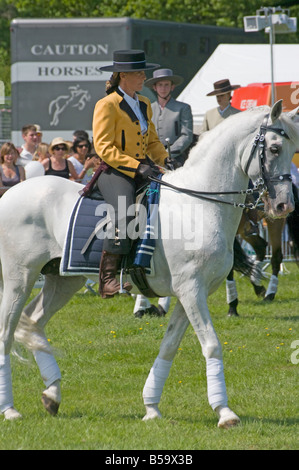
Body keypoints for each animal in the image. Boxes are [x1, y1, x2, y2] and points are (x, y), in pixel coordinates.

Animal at [0, 102, 299, 426]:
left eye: (291, 149)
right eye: (274, 148)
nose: (284, 206)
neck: (198, 205)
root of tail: (10, 193)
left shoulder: (192, 293)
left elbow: (169, 347)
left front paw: (151, 406)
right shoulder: (191, 290)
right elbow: (211, 344)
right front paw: (225, 412)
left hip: (63, 280)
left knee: (33, 322)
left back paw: (52, 394)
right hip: (19, 280)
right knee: (6, 334)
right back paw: (10, 409)